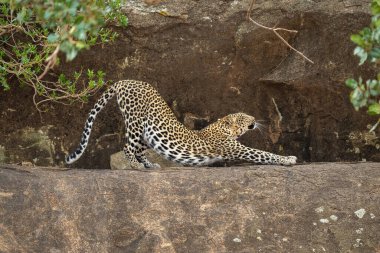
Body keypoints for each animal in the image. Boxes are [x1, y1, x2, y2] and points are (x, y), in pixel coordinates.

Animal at [65, 80, 223, 169]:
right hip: (135, 122)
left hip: (148, 134)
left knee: (139, 151)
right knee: (128, 147)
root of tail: (124, 81)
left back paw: (150, 165)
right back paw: (136, 165)